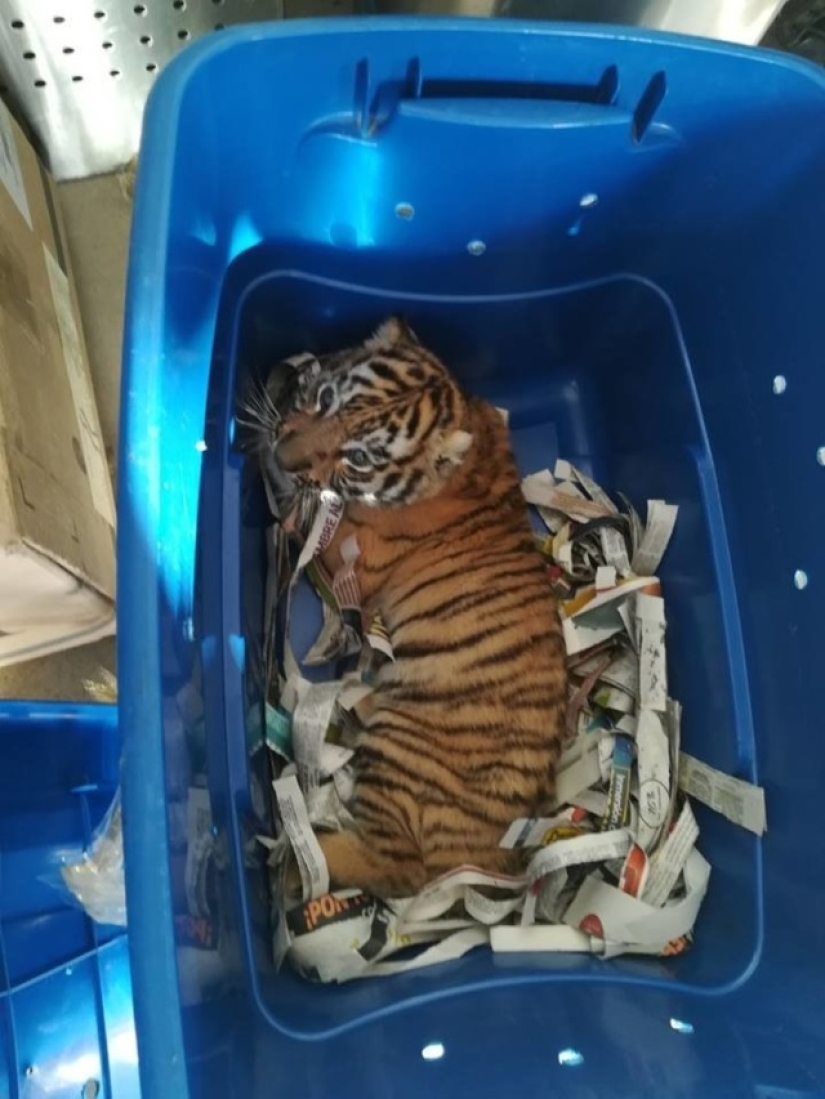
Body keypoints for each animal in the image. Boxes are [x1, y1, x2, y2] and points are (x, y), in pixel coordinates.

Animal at [266, 317, 567, 898]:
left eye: (360, 458)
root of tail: (495, 854)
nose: (281, 458)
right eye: (327, 399)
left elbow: (313, 515)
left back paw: (292, 862)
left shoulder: (351, 556)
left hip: (400, 752)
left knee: (395, 864)